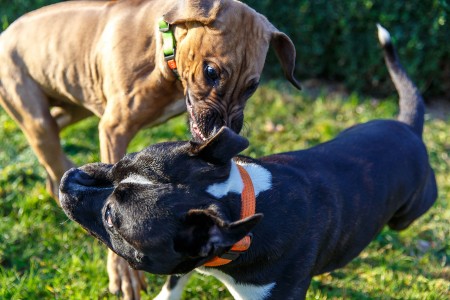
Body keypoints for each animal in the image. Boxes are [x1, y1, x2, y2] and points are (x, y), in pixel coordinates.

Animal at [1, 0, 300, 298]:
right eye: (211, 72)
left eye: (252, 86)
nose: (223, 130)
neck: (163, 52)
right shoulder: (113, 129)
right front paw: (124, 274)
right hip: (37, 116)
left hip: (70, 105)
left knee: (55, 137)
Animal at [59, 25, 436, 300]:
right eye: (122, 161)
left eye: (112, 219)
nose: (68, 178)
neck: (241, 199)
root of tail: (408, 126)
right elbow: (176, 278)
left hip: (410, 211)